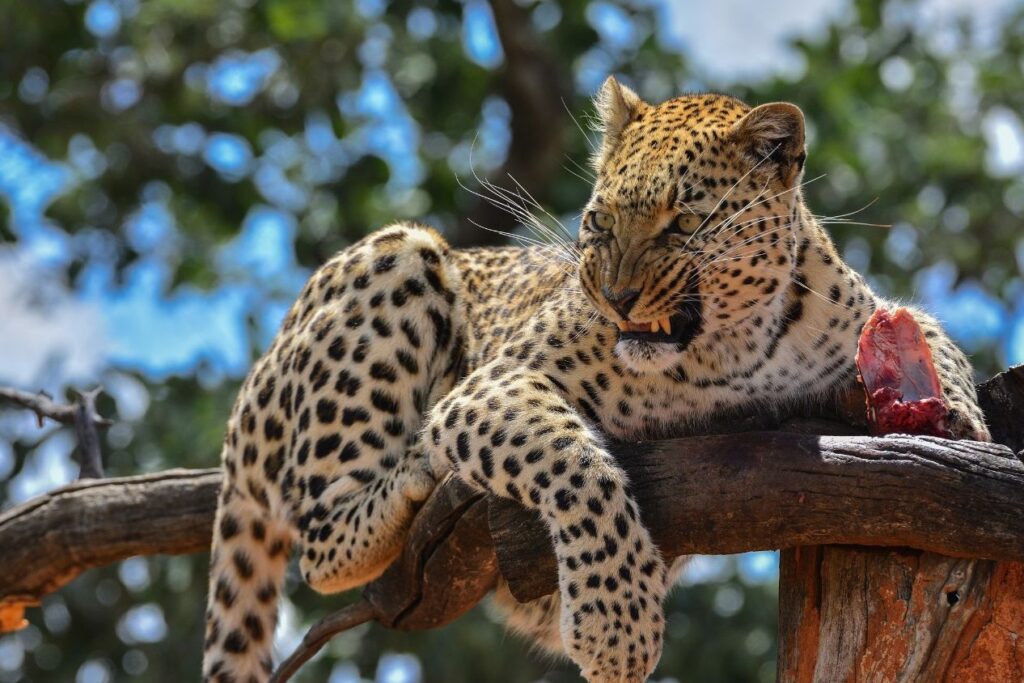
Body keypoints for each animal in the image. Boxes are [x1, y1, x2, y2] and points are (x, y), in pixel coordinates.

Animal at [201, 76, 989, 683]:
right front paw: (618, 627)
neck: (726, 354)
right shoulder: (493, 382)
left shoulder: (868, 315)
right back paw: (415, 475)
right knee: (321, 536)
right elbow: (575, 462)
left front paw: (961, 419)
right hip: (397, 255)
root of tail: (249, 394)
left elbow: (931, 337)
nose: (614, 297)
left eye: (681, 224)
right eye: (599, 223)